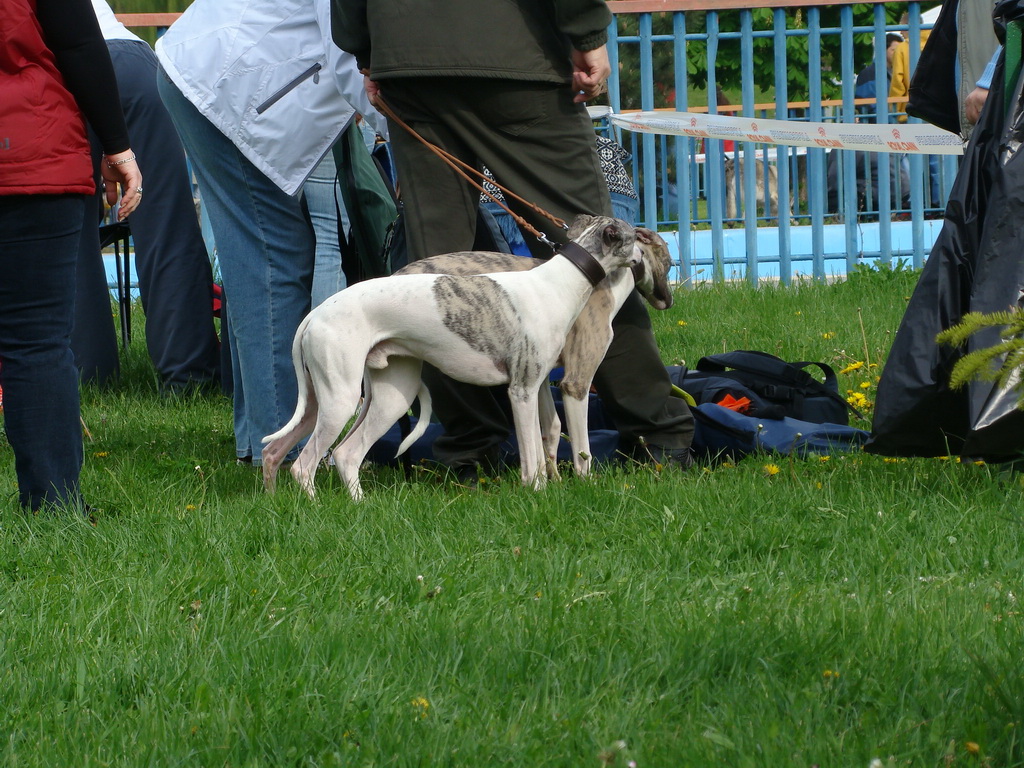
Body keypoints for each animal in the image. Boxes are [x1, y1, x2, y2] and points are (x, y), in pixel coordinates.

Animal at [262, 214, 638, 501]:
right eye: (635, 236)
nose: (641, 253)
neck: (559, 281)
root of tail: (316, 313)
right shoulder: (521, 391)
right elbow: (531, 457)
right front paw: (535, 492)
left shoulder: (533, 385)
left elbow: (539, 441)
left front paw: (545, 489)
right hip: (341, 399)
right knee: (305, 464)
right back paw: (316, 508)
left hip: (369, 397)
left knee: (307, 452)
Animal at [395, 225, 675, 479]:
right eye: (670, 263)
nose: (670, 302)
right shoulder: (574, 381)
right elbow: (581, 446)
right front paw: (583, 482)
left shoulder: (539, 377)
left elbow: (550, 428)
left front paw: (553, 479)